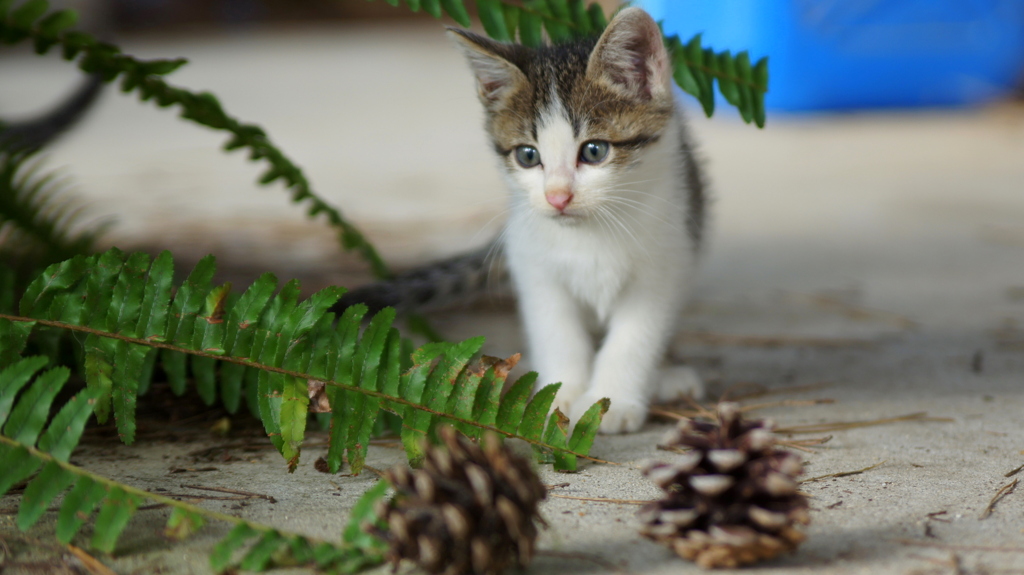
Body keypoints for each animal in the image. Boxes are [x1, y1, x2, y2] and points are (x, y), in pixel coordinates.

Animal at [335, 7, 704, 429]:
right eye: (528, 156)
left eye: (594, 151)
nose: (557, 197)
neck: (588, 235)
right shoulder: (533, 264)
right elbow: (556, 331)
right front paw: (558, 396)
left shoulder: (665, 263)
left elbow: (635, 337)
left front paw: (611, 402)